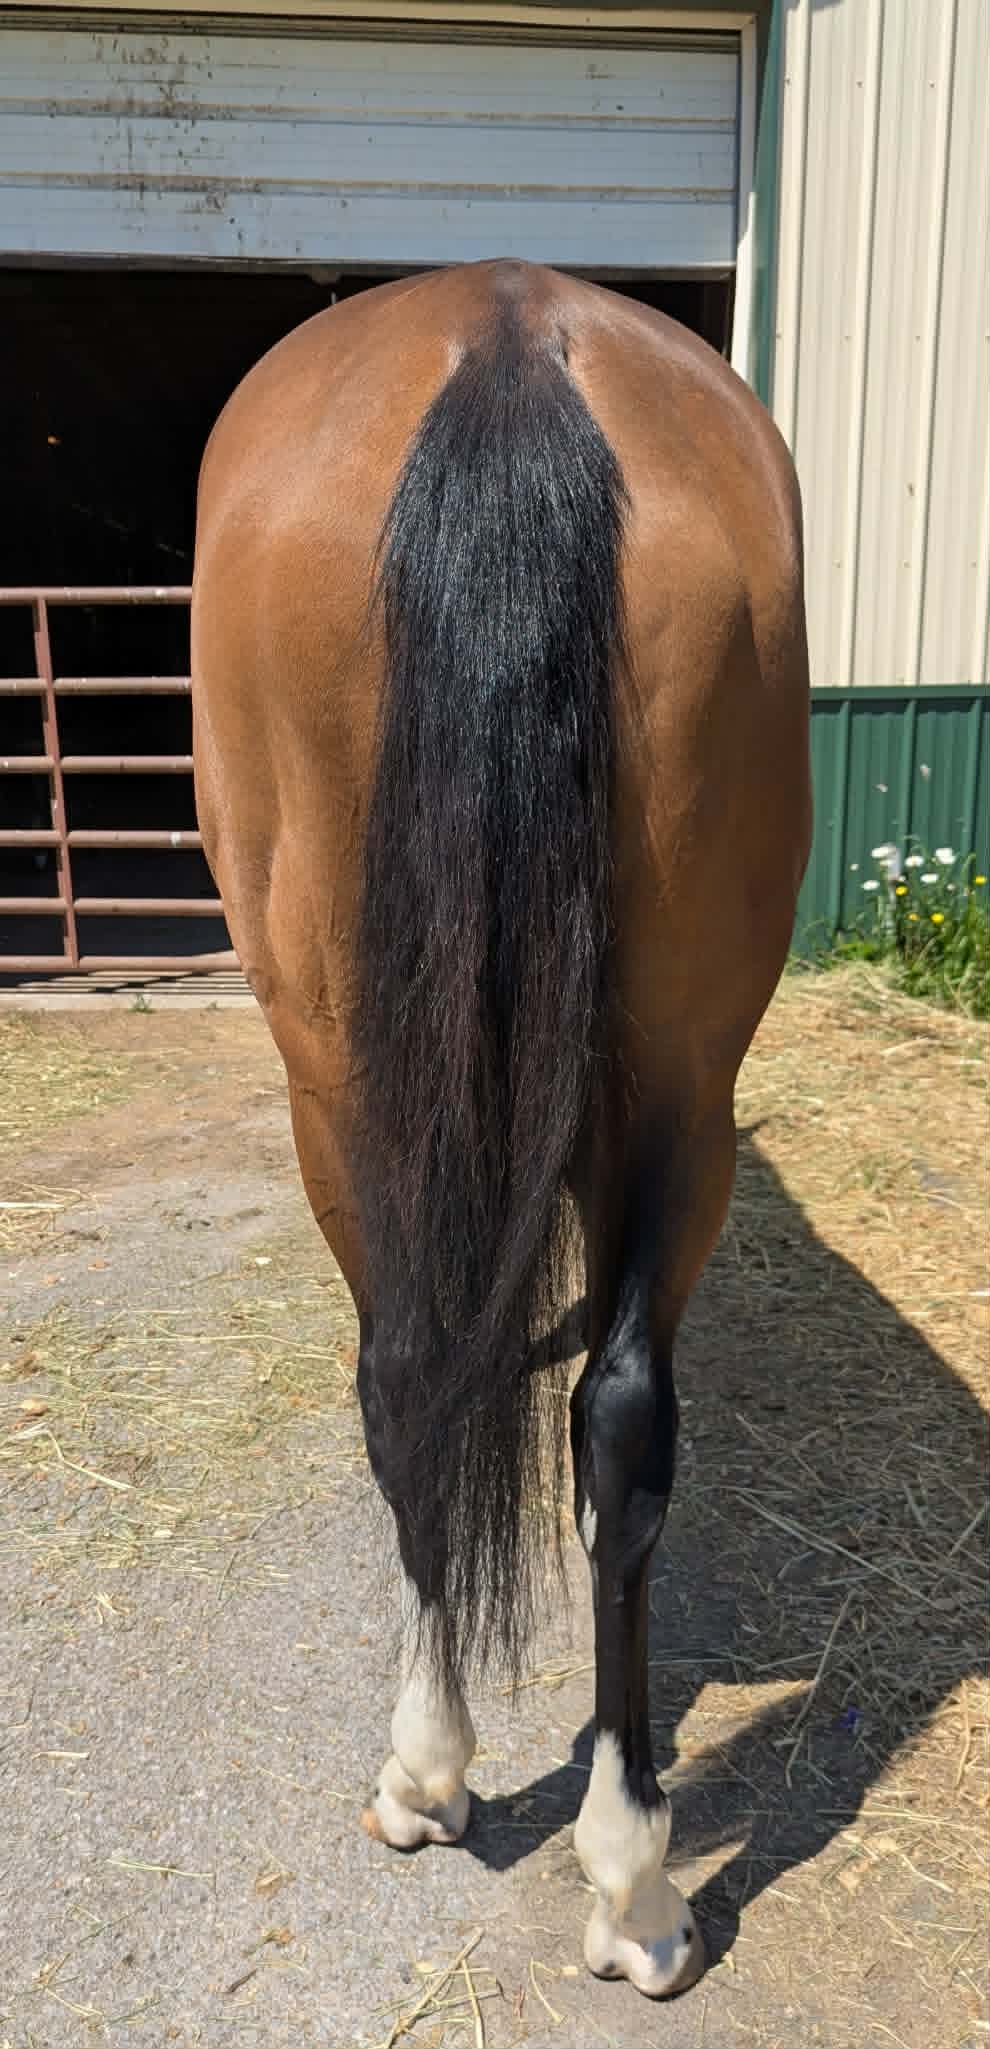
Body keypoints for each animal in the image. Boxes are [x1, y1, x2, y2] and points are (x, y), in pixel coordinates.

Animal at [191, 259, 811, 1999]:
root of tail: (509, 334)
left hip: (337, 1084)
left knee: (405, 1376)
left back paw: (430, 1771)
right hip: (680, 1078)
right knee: (615, 1421)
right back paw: (634, 1879)